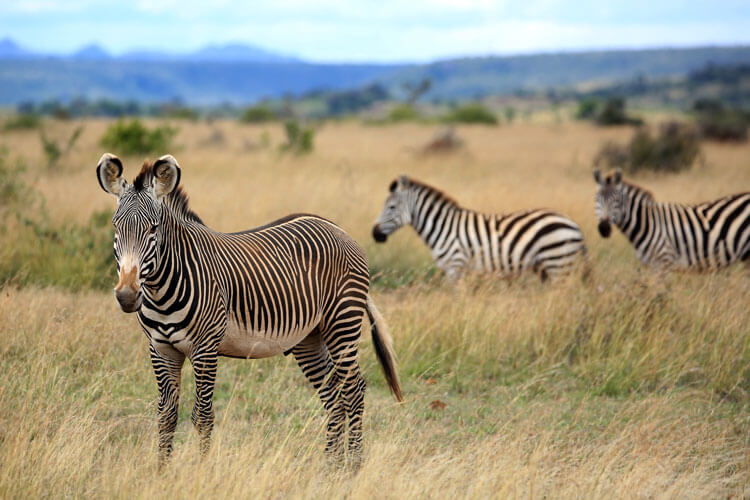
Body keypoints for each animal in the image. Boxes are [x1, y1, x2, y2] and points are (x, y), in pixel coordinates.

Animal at [98, 152, 406, 468]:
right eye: (116, 227)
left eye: (153, 228)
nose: (126, 296)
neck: (161, 290)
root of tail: (336, 227)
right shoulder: (161, 349)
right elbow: (166, 417)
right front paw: (162, 472)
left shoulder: (205, 348)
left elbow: (203, 416)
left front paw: (202, 471)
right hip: (309, 337)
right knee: (333, 395)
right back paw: (330, 467)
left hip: (342, 322)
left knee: (353, 390)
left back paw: (354, 466)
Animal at [374, 176, 592, 282]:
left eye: (391, 207)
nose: (374, 234)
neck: (442, 227)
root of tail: (574, 225)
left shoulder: (455, 267)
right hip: (547, 266)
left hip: (558, 262)